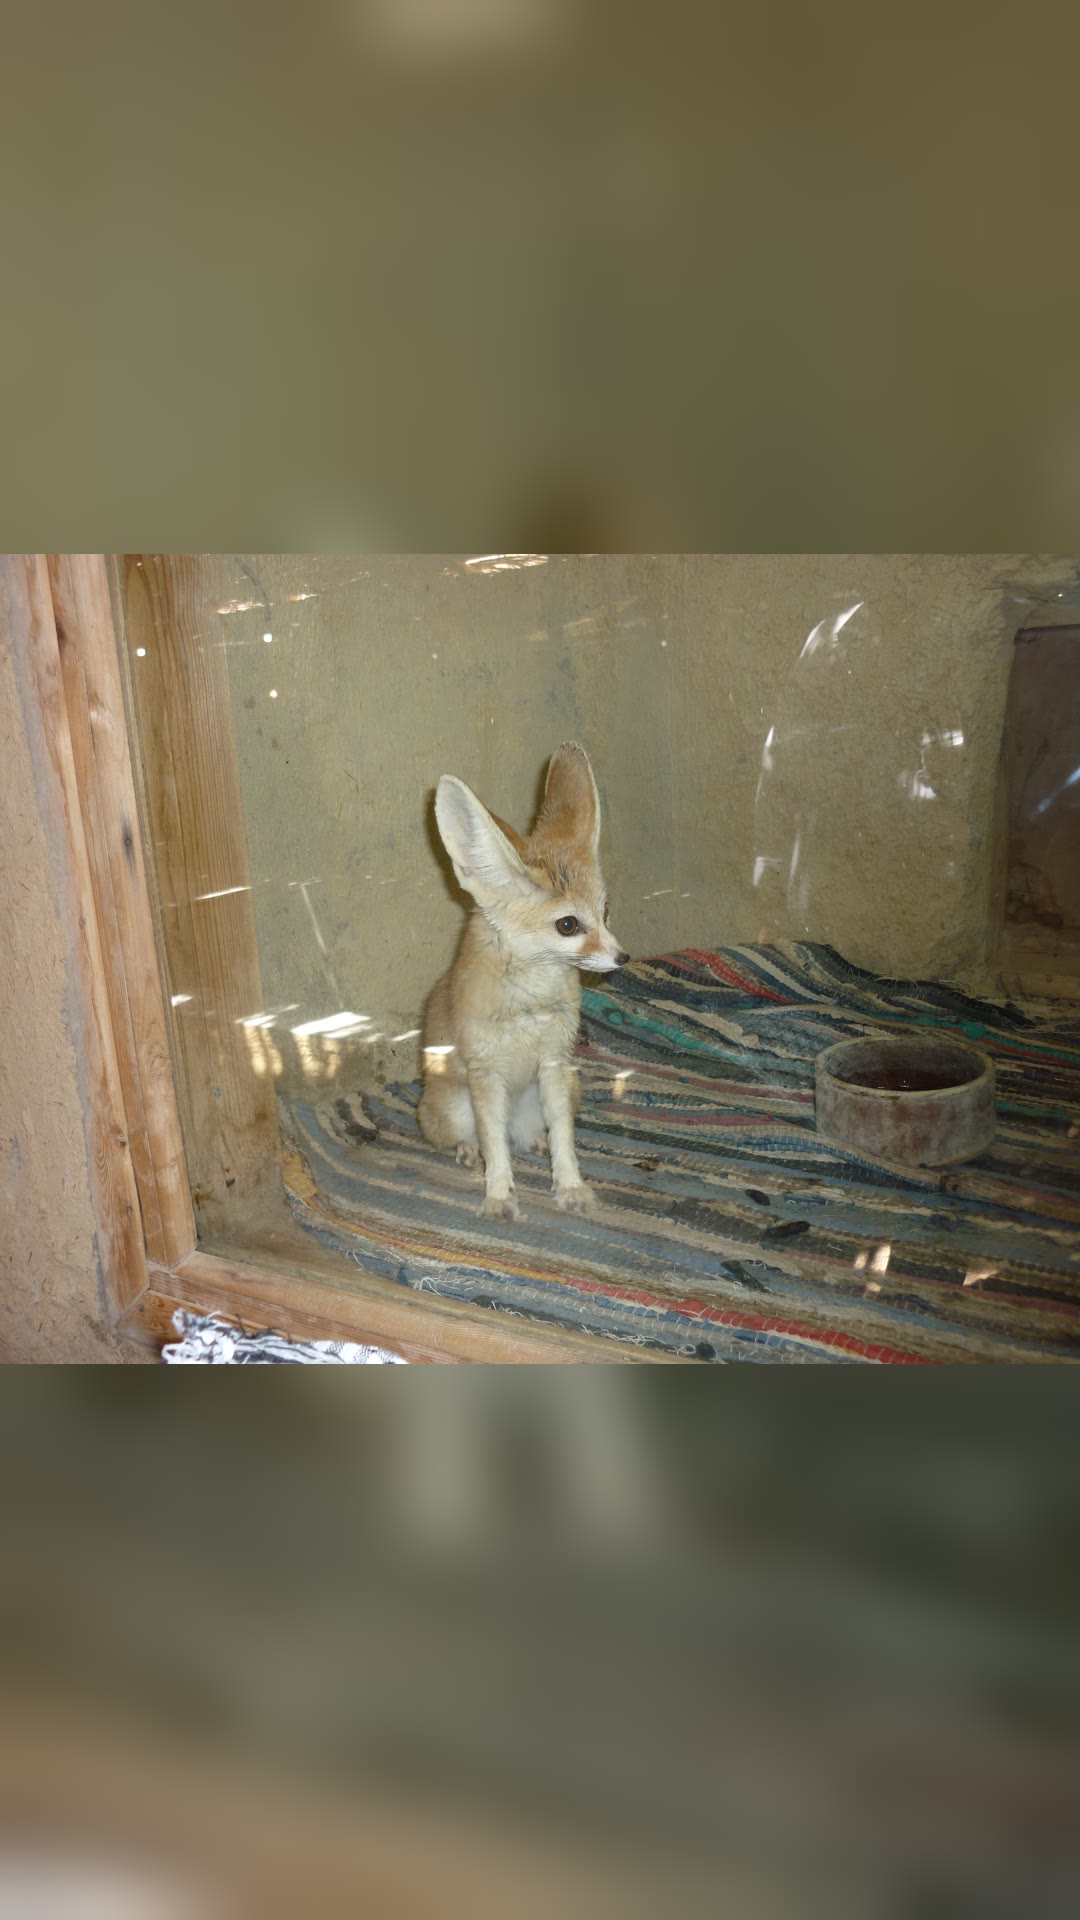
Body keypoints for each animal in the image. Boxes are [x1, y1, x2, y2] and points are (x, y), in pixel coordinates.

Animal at [417, 742, 629, 1222]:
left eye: (606, 913)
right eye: (568, 925)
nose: (622, 958)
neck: (531, 1004)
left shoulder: (554, 1062)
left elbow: (565, 1141)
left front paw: (570, 1187)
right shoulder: (486, 1073)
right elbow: (496, 1149)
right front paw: (498, 1196)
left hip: (567, 1087)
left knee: (530, 1134)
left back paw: (533, 1142)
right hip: (454, 1108)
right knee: (480, 1138)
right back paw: (469, 1152)